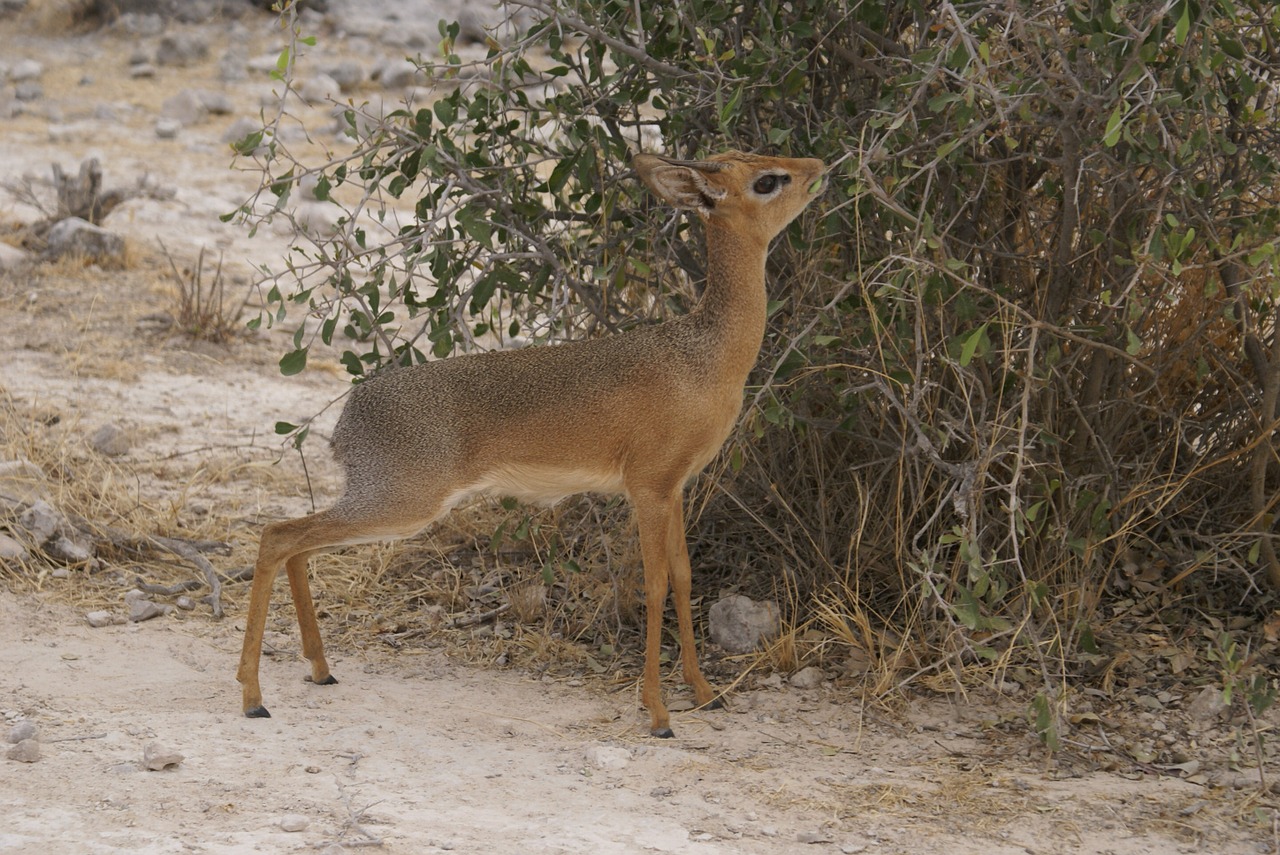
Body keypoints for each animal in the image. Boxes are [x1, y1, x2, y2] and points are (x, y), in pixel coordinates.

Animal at [235, 150, 824, 737]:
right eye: (767, 181)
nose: (818, 167)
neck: (705, 357)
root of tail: (347, 419)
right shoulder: (649, 486)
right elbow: (653, 586)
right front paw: (658, 714)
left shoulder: (675, 487)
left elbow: (682, 577)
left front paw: (704, 693)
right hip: (401, 503)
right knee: (276, 536)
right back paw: (252, 696)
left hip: (385, 504)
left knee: (295, 544)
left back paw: (318, 669)